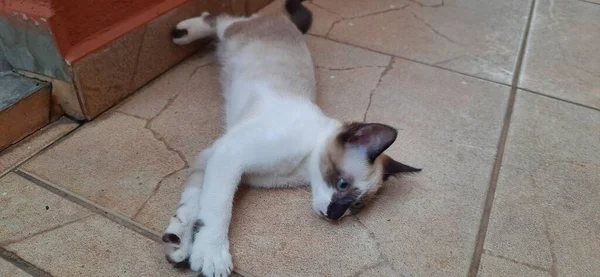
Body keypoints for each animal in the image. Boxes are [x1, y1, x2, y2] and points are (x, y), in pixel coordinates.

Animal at [162, 1, 420, 274]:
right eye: (342, 184)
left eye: (357, 205)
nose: (334, 214)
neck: (302, 170)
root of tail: (288, 24)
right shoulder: (228, 155)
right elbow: (217, 208)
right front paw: (211, 255)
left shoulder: (212, 156)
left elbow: (193, 203)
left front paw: (179, 243)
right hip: (231, 32)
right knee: (219, 18)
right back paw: (181, 33)